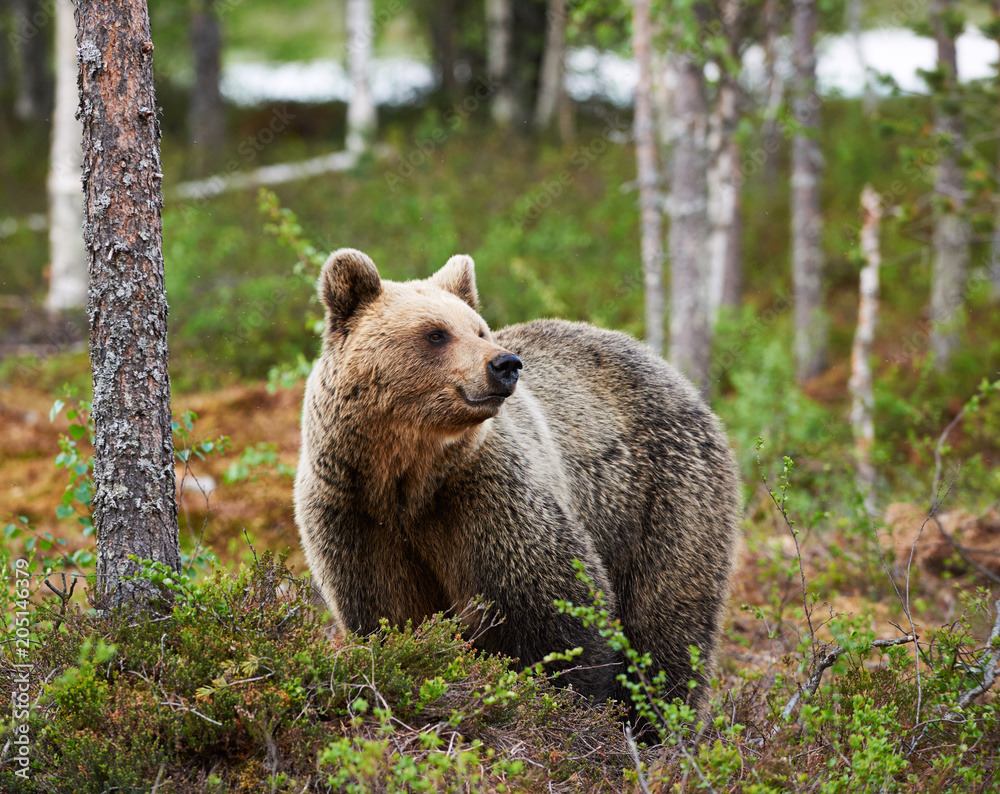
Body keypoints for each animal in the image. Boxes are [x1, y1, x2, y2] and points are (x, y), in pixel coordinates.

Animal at [294, 248, 740, 712]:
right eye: (436, 334)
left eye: (479, 328)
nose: (505, 364)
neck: (409, 476)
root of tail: (674, 374)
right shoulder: (355, 513)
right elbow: (391, 612)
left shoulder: (489, 496)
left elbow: (552, 607)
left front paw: (566, 697)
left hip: (665, 497)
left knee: (666, 619)